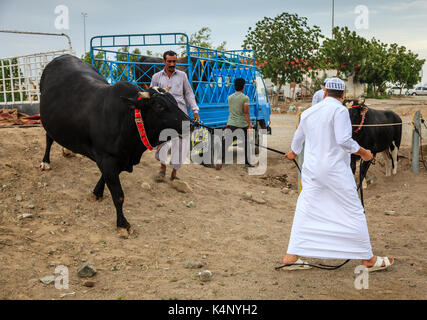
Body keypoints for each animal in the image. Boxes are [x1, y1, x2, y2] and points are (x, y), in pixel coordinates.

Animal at [40, 53, 191, 236]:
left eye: (175, 101)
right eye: (160, 105)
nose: (191, 123)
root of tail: (63, 56)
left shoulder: (117, 159)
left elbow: (105, 178)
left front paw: (97, 193)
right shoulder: (108, 158)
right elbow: (118, 195)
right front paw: (122, 223)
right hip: (48, 122)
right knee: (48, 138)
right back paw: (45, 162)